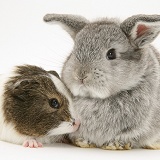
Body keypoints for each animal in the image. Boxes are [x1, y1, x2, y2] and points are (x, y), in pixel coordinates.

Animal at [43, 14, 160, 150]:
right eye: (74, 51)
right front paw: (83, 142)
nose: (81, 75)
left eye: (111, 53)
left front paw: (114, 145)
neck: (96, 99)